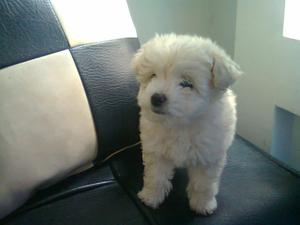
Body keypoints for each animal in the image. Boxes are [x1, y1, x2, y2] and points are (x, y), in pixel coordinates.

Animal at [131, 33, 241, 214]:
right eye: (153, 75)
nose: (156, 98)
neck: (180, 124)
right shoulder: (156, 151)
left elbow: (203, 184)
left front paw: (203, 204)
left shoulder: (208, 156)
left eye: (187, 84)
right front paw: (150, 197)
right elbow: (155, 176)